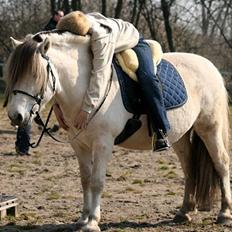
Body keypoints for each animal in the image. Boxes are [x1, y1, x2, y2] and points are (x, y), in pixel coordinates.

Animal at [5, 31, 232, 231]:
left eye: (35, 75)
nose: (16, 116)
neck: (86, 88)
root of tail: (209, 65)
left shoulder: (103, 144)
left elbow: (97, 182)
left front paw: (92, 222)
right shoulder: (79, 145)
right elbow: (85, 180)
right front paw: (82, 219)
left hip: (209, 128)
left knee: (221, 163)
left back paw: (224, 213)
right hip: (181, 137)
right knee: (189, 168)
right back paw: (184, 212)